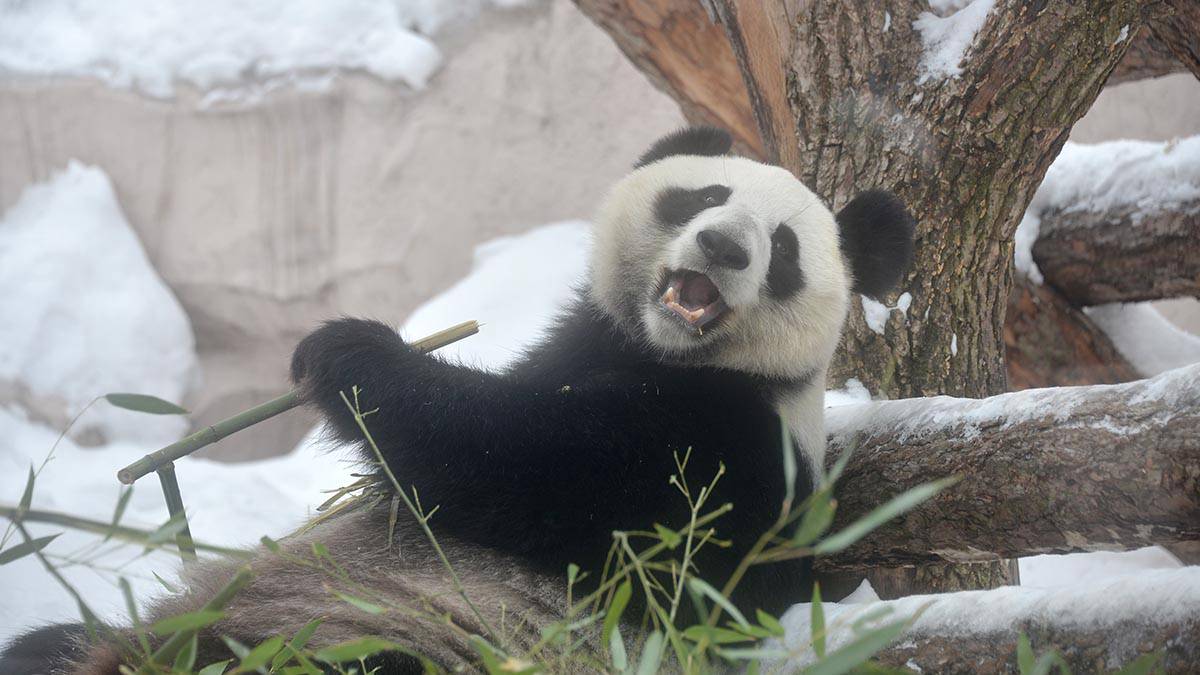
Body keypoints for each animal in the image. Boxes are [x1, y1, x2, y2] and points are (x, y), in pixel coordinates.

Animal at [4, 126, 912, 672]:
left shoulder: (728, 456)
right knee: (47, 643)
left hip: (370, 643)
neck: (667, 354)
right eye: (701, 198)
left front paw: (349, 352)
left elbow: (523, 461)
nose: (723, 246)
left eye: (784, 249)